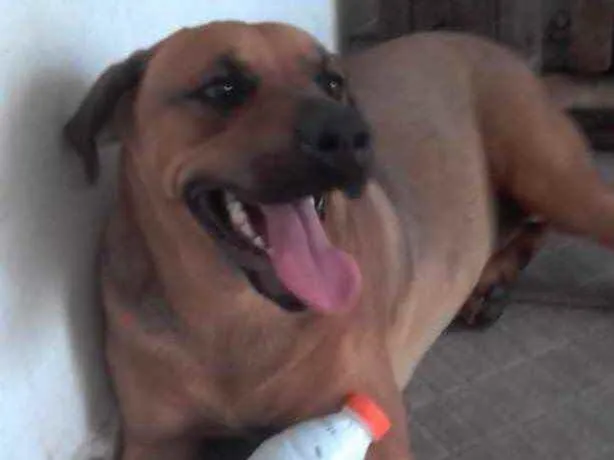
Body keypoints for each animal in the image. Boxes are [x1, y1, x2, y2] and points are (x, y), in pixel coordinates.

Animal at [64, 21, 614, 459]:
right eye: (223, 87)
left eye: (332, 82)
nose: (352, 134)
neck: (233, 314)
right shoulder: (154, 439)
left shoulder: (372, 420)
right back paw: (490, 281)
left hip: (551, 176)